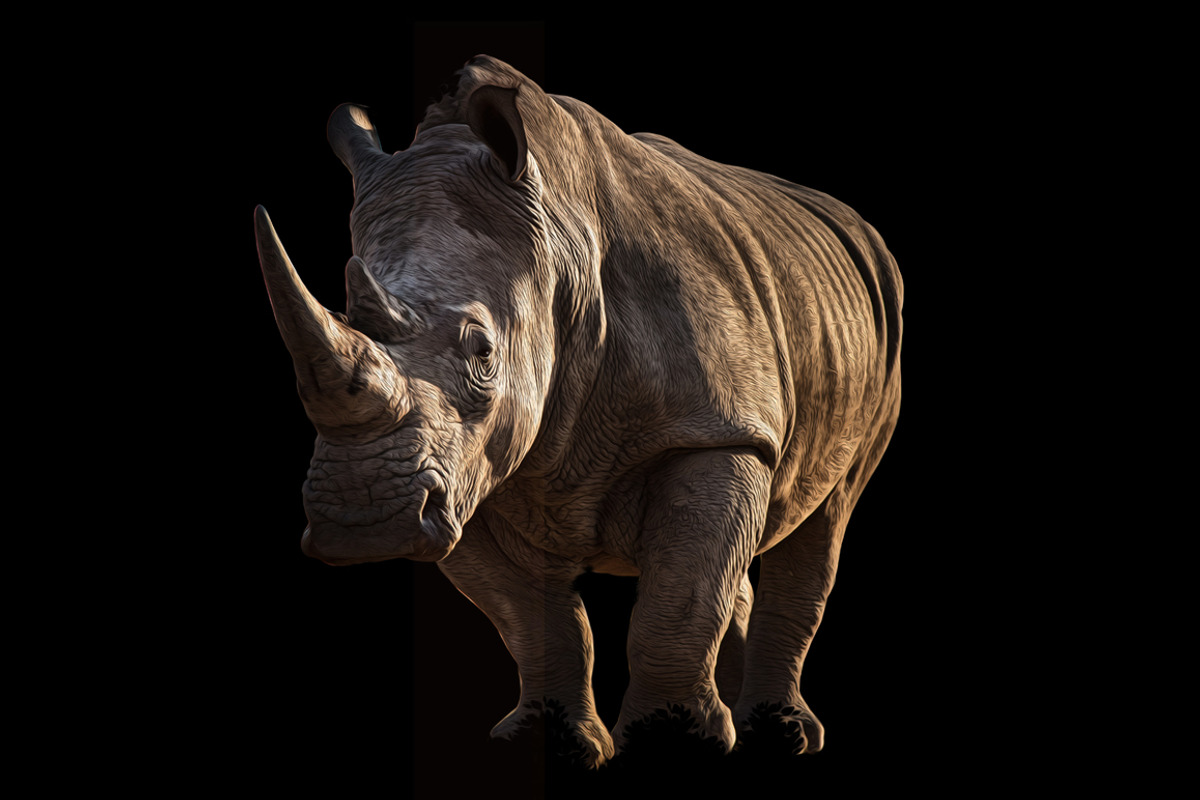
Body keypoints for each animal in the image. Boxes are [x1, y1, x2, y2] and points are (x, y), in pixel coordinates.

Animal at [256, 55, 902, 768]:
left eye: (483, 354)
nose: (363, 521)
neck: (559, 248)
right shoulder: (461, 472)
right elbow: (533, 617)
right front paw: (551, 743)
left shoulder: (713, 431)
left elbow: (676, 602)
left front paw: (670, 744)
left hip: (882, 328)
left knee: (827, 512)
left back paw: (782, 734)